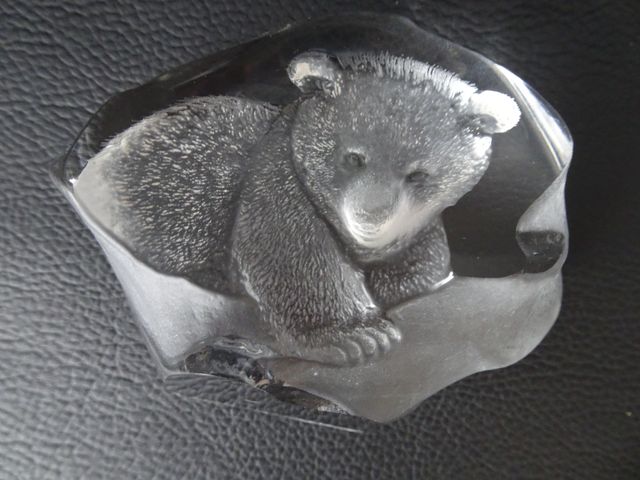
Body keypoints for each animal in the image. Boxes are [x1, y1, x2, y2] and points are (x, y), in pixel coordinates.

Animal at [75, 51, 521, 366]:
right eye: (353, 158)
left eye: (418, 174)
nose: (370, 218)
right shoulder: (276, 188)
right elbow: (295, 261)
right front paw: (356, 336)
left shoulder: (418, 233)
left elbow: (419, 270)